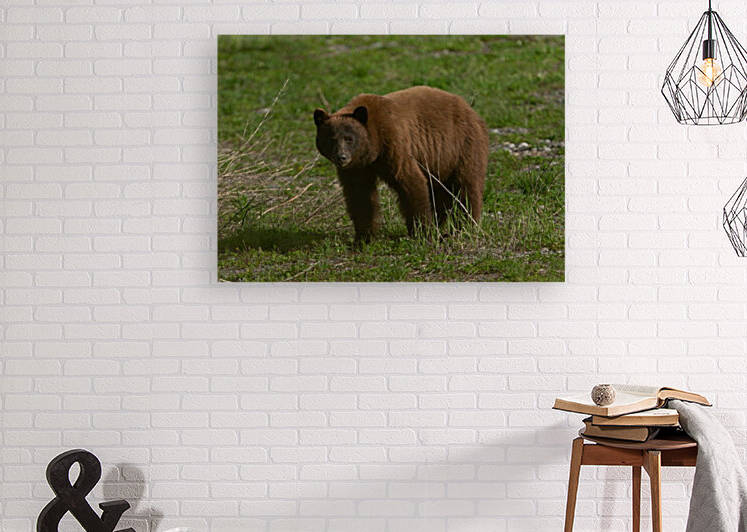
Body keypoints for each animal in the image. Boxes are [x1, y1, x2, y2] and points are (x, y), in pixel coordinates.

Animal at [314, 85, 489, 244]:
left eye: (349, 138)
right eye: (331, 139)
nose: (341, 157)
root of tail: (470, 110)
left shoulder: (394, 144)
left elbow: (411, 182)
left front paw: (422, 233)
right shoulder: (357, 167)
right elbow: (360, 195)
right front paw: (363, 237)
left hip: (462, 146)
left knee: (466, 186)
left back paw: (465, 226)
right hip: (440, 163)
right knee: (440, 193)